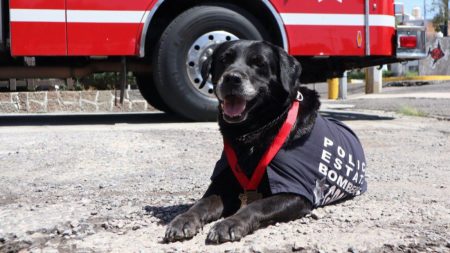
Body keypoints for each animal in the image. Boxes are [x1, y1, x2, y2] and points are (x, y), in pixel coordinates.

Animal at [163, 40, 368, 244]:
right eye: (223, 60)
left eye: (259, 63)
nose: (231, 78)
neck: (254, 133)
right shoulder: (223, 183)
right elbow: (202, 203)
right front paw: (184, 220)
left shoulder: (295, 193)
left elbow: (257, 205)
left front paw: (230, 223)